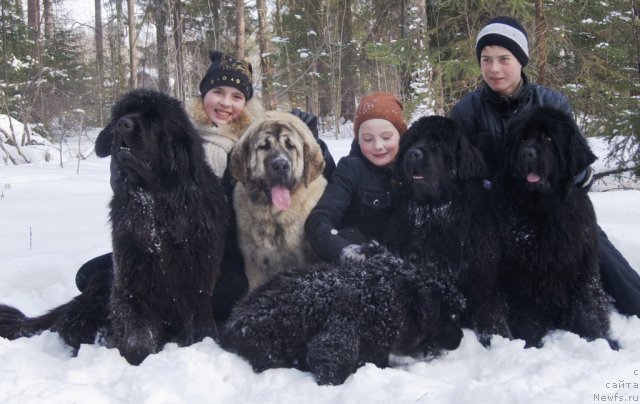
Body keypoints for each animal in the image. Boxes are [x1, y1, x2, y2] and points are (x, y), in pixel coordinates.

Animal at [0, 90, 229, 364]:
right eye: (123, 114)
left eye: (155, 119)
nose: (123, 124)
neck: (156, 209)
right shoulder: (130, 284)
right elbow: (136, 337)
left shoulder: (197, 283)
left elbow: (199, 329)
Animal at [384, 115, 510, 346]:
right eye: (411, 142)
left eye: (437, 144)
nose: (413, 154)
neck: (435, 215)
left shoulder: (484, 283)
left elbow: (492, 318)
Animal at [496, 105, 616, 348]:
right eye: (522, 138)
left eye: (549, 138)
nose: (527, 154)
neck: (543, 210)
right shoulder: (523, 276)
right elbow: (526, 320)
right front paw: (530, 345)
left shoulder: (580, 270)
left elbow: (585, 311)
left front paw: (595, 340)